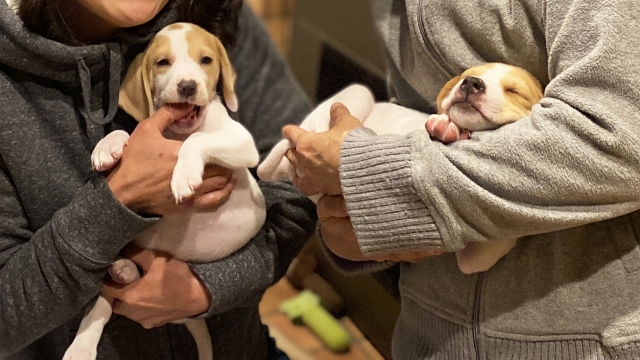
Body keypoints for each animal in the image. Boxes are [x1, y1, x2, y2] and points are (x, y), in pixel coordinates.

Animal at [63, 23, 266, 360]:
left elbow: (197, 141)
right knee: (101, 306)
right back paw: (84, 343)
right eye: (162, 63)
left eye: (206, 60)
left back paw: (125, 273)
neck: (178, 131)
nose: (187, 86)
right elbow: (129, 131)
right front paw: (108, 145)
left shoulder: (242, 144)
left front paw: (184, 174)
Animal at [258, 62, 544, 276]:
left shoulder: (476, 256)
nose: (471, 83)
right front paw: (445, 124)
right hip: (356, 95)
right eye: (466, 76)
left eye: (514, 91)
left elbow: (497, 241)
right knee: (306, 135)